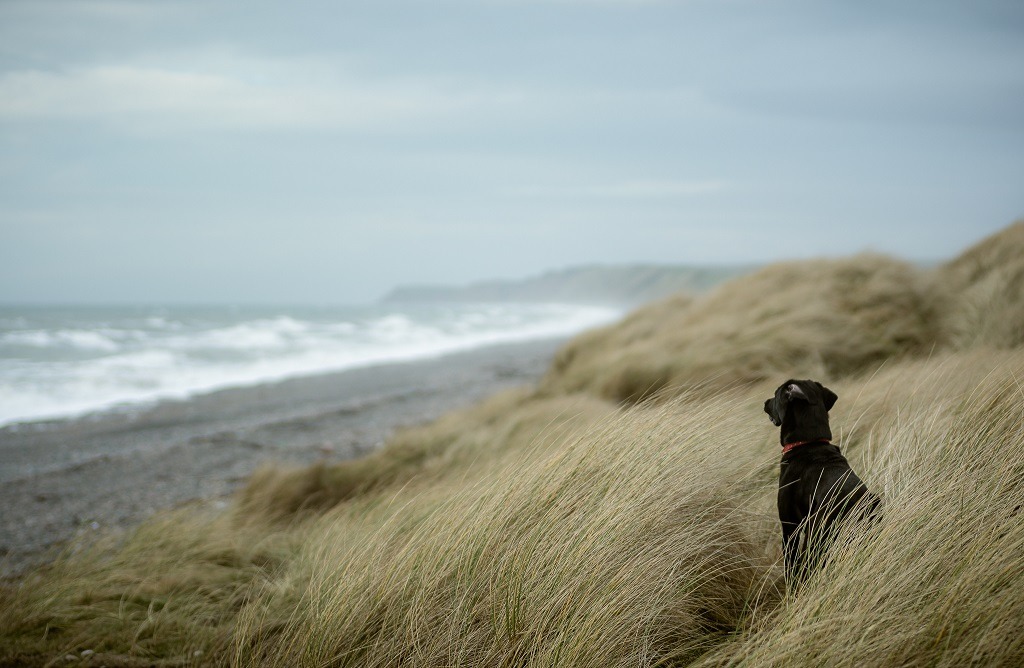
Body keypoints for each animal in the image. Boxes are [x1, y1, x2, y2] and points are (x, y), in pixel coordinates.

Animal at [761, 379, 880, 586]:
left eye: (776, 394)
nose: (765, 402)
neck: (809, 442)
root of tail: (856, 505)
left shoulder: (790, 527)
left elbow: (791, 567)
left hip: (816, 539)